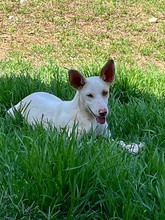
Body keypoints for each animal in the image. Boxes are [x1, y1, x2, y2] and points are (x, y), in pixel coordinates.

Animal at [7, 59, 144, 154]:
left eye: (105, 92)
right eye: (89, 95)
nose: (103, 112)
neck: (89, 120)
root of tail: (26, 97)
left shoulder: (107, 136)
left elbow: (118, 142)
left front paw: (132, 146)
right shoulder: (73, 142)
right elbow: (99, 144)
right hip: (13, 114)